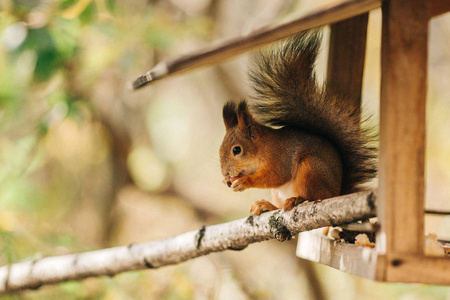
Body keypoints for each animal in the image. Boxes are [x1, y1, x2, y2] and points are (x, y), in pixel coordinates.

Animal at [218, 31, 376, 216]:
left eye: (237, 150)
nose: (226, 173)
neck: (261, 148)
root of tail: (337, 192)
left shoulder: (280, 157)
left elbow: (276, 176)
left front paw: (245, 181)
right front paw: (226, 181)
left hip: (311, 169)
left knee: (316, 196)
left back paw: (298, 199)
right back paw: (267, 205)